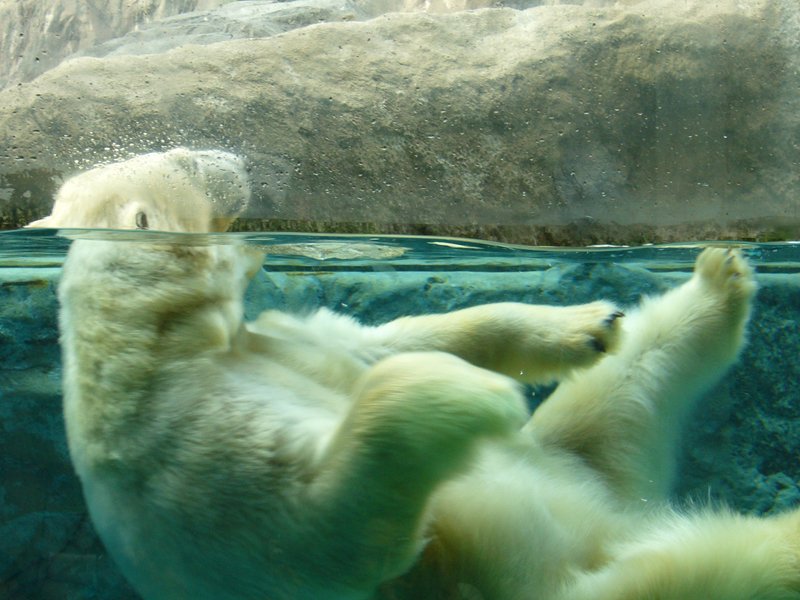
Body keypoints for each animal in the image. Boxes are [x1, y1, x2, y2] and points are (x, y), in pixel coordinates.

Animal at [28, 146, 800, 600]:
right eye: (183, 161)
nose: (232, 155)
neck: (168, 345)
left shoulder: (279, 340)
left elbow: (383, 344)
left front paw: (579, 326)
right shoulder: (185, 461)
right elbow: (325, 526)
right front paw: (480, 397)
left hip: (592, 470)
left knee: (619, 398)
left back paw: (716, 283)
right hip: (579, 585)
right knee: (707, 569)